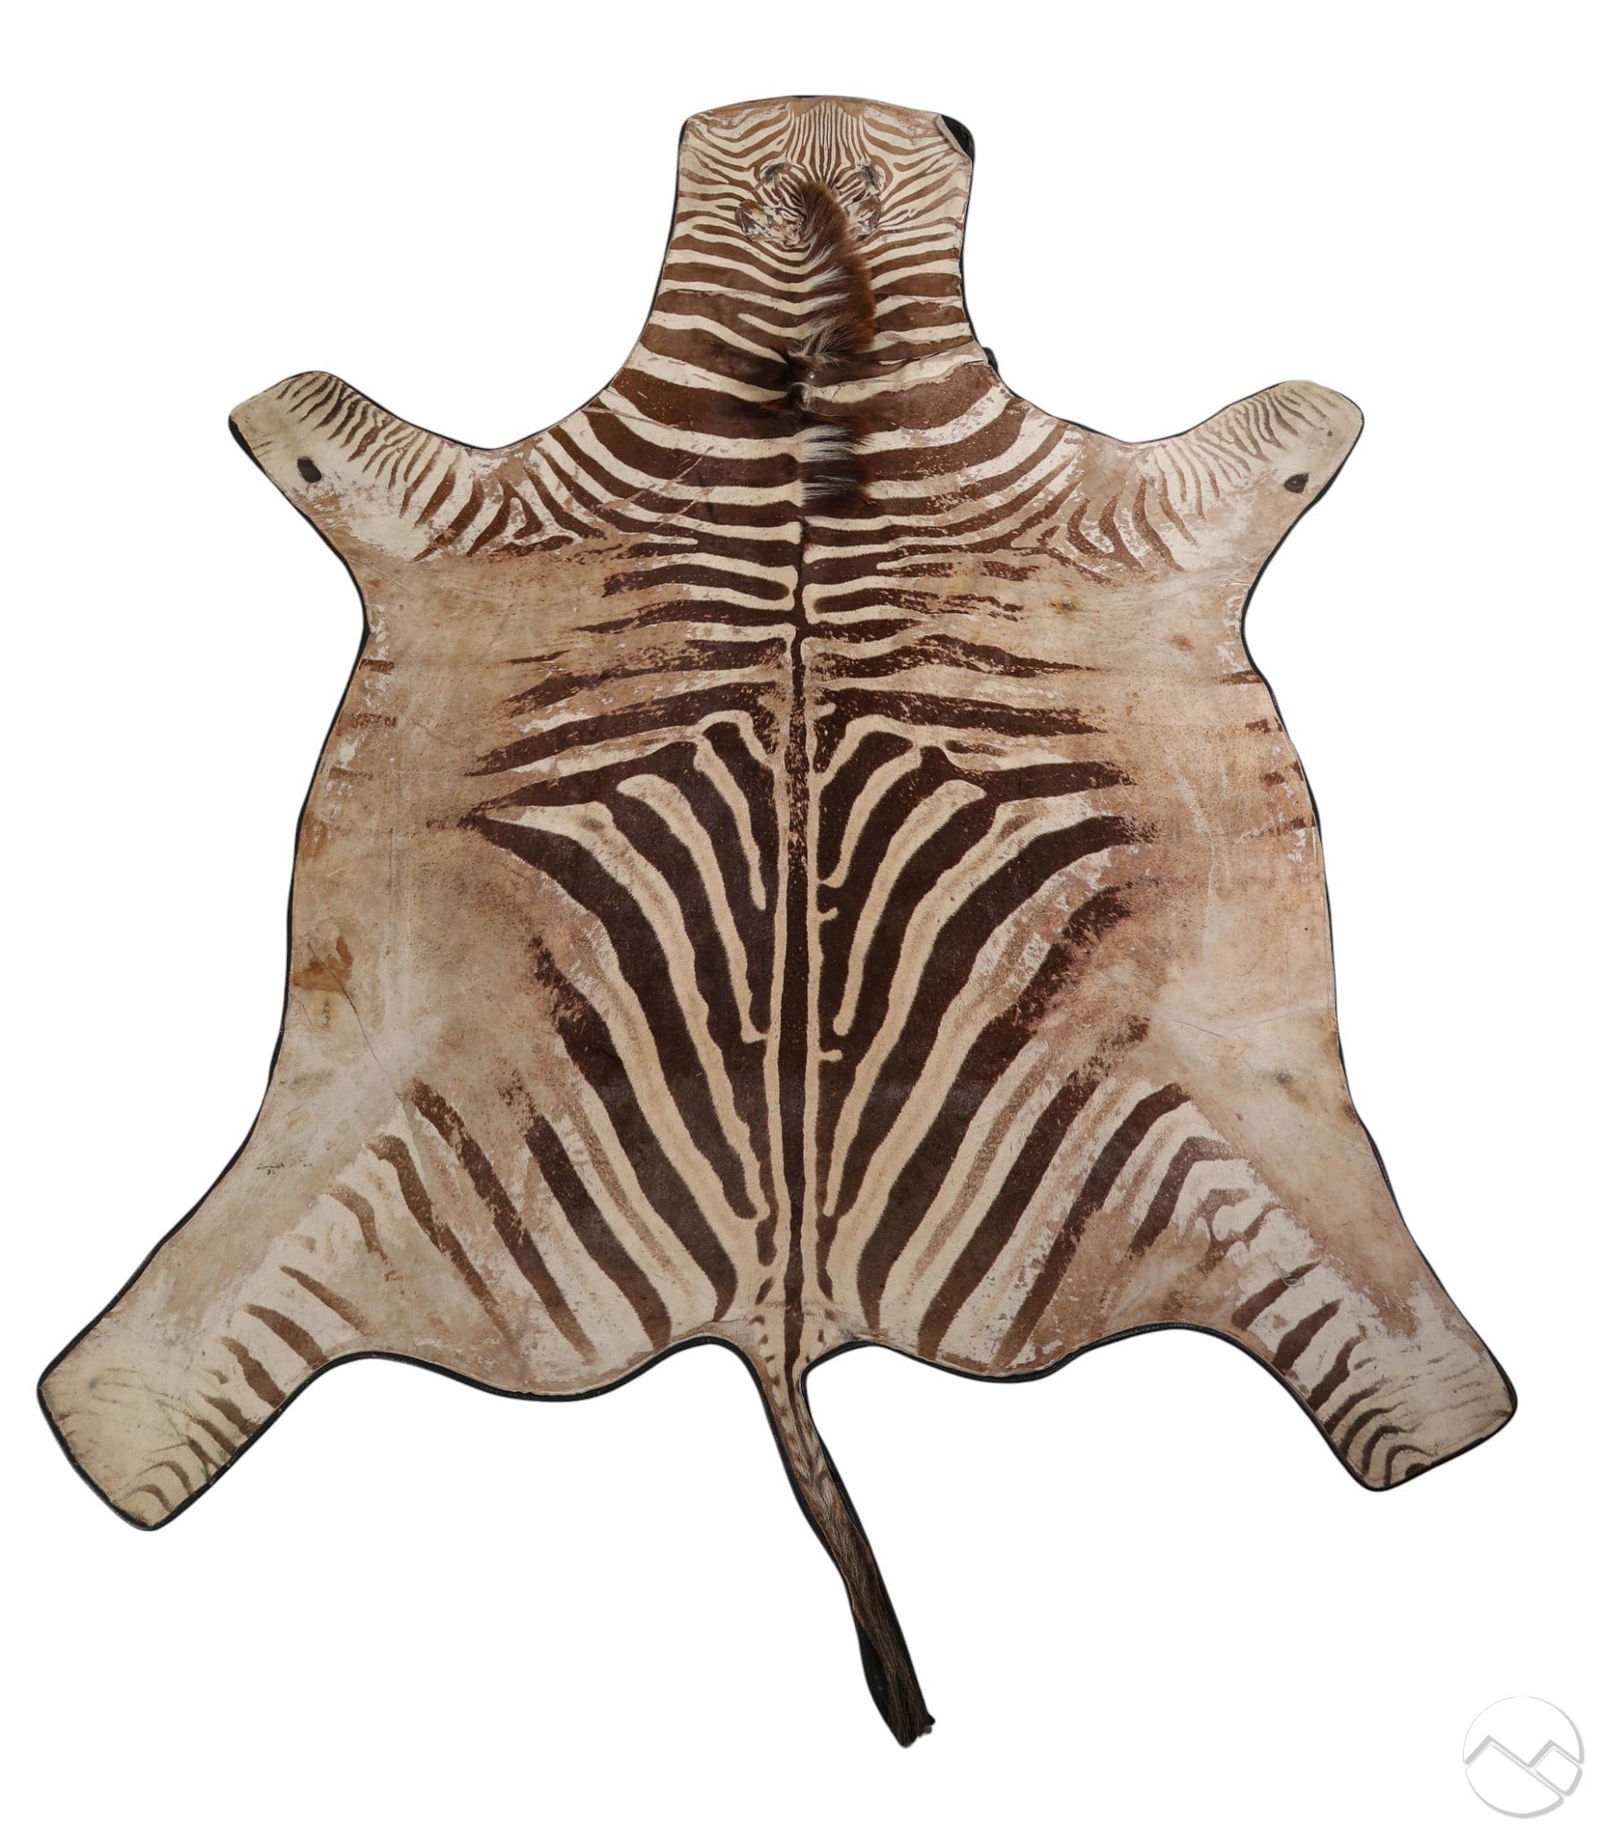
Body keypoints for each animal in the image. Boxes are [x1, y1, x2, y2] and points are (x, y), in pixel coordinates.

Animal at [40, 94, 1514, 1745]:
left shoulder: (1153, 504)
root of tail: (784, 1314)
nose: (824, 115)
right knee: (145, 1389)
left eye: (934, 141)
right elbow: (324, 427)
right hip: (370, 1123)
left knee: (1408, 1377)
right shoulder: (447, 499)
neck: (811, 349)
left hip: (1232, 1124)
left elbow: (1287, 429)